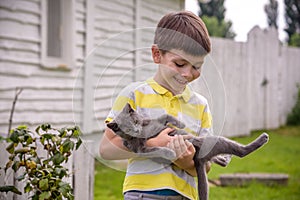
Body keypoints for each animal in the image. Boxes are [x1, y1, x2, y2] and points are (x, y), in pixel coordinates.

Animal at [108, 103, 270, 200]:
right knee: (240, 152)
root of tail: (199, 159)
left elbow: (166, 115)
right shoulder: (141, 149)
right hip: (211, 142)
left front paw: (181, 123)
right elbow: (156, 149)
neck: (142, 132)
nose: (136, 130)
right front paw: (171, 153)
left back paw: (227, 156)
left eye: (135, 121)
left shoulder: (156, 122)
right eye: (127, 129)